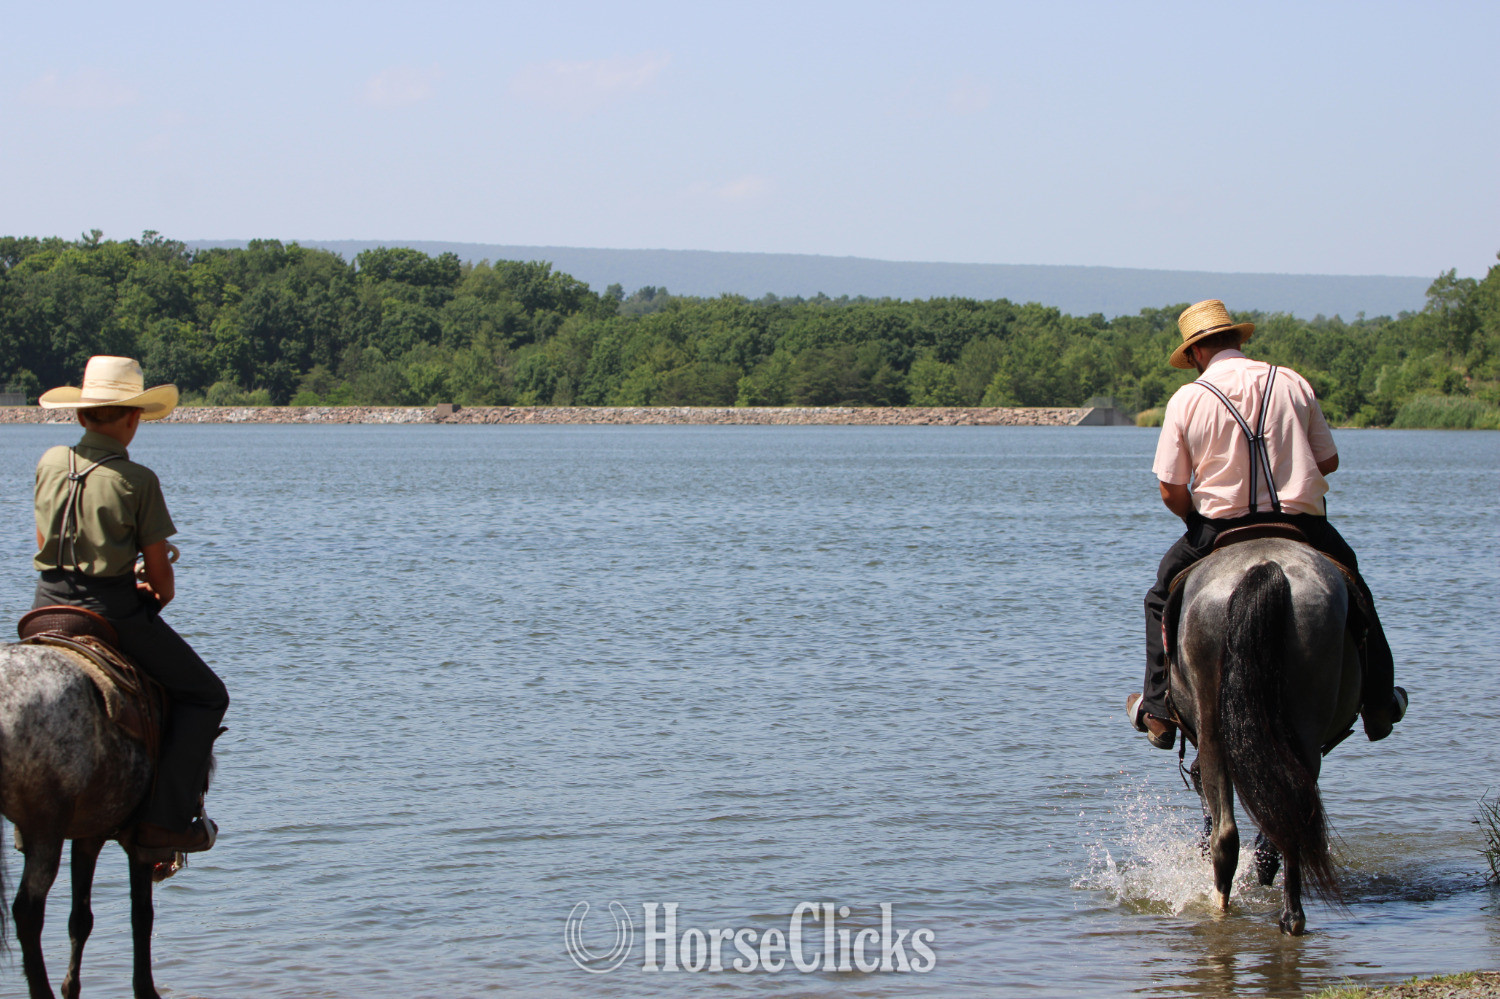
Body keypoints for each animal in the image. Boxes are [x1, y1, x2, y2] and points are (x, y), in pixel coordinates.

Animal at [0, 641, 192, 999]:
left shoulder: (87, 834)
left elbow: (81, 918)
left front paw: (71, 987)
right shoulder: (138, 841)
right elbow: (141, 915)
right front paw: (145, 989)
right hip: (46, 827)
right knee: (27, 911)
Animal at [1168, 536, 1363, 935]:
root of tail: (1265, 565)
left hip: (1215, 729)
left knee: (1229, 834)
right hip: (1301, 724)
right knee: (1290, 815)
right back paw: (1289, 917)